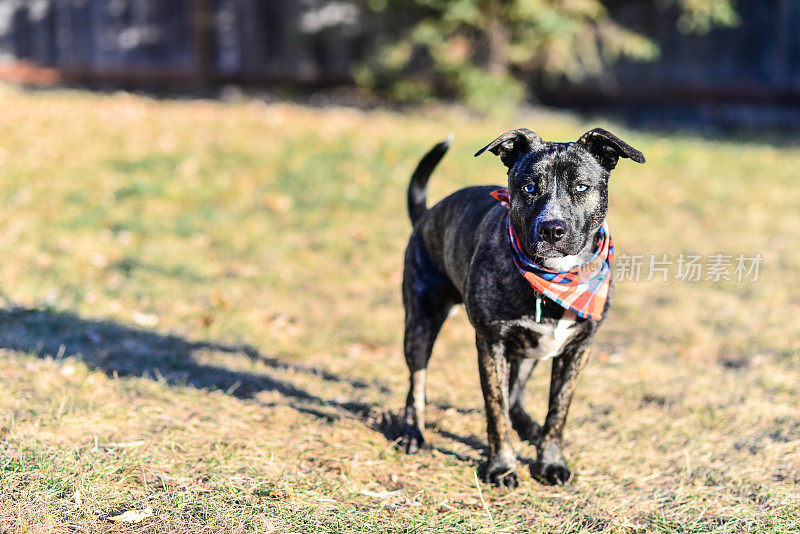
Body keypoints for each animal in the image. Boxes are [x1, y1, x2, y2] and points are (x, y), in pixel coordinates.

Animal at [398, 127, 644, 488]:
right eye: (529, 187)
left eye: (581, 187)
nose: (552, 229)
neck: (555, 277)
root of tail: (428, 215)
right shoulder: (491, 345)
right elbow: (495, 409)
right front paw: (501, 467)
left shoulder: (578, 349)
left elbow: (558, 412)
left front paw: (550, 462)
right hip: (421, 322)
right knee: (417, 381)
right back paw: (411, 432)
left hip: (532, 349)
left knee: (516, 395)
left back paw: (530, 428)